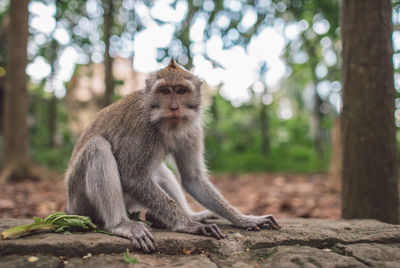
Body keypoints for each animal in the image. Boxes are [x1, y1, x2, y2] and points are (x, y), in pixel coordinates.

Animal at [64, 58, 280, 253]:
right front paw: (189, 225)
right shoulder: (141, 129)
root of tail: (68, 207)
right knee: (98, 147)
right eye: (165, 91)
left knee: (159, 170)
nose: (174, 107)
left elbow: (192, 178)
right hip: (79, 201)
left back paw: (187, 215)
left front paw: (243, 219)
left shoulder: (192, 130)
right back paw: (120, 224)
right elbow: (133, 178)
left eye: (181, 91)